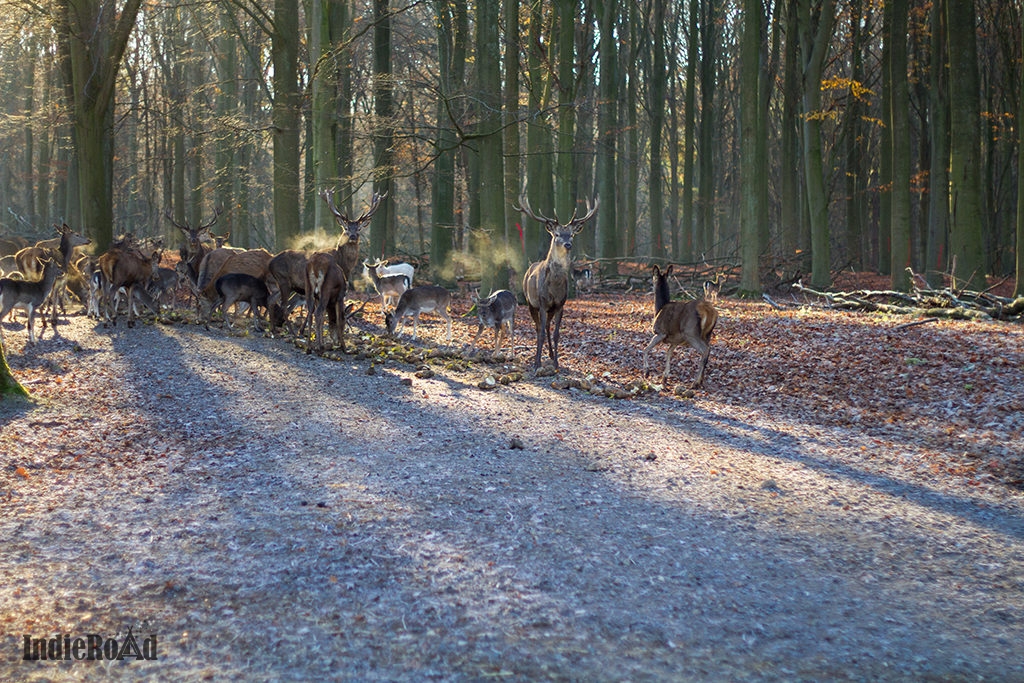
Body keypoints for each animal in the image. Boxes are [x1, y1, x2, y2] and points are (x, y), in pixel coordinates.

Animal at [512, 194, 598, 370]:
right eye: (557, 234)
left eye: (571, 234)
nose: (568, 244)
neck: (555, 286)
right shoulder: (542, 302)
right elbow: (541, 332)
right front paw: (537, 362)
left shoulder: (560, 304)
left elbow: (557, 333)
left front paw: (556, 362)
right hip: (531, 303)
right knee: (539, 328)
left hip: (549, 309)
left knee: (546, 326)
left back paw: (551, 355)